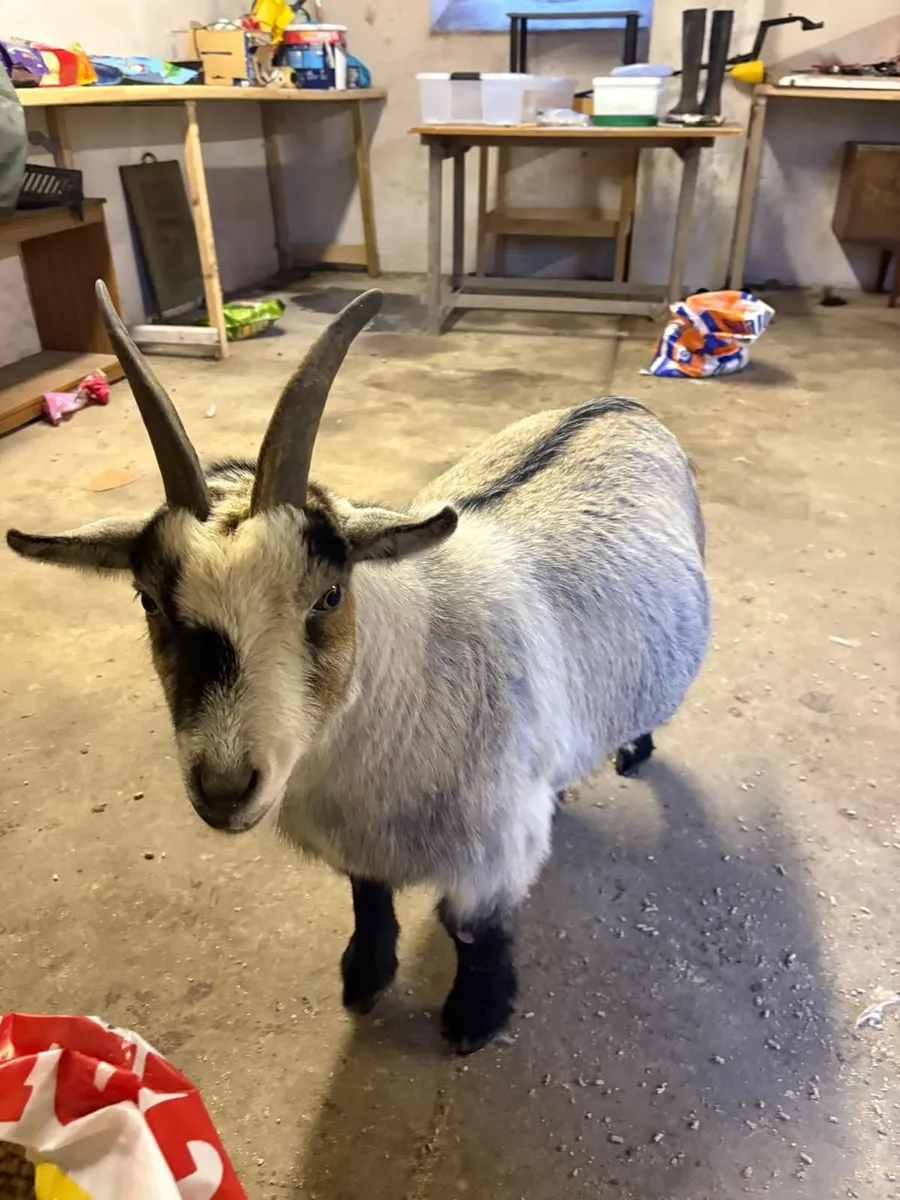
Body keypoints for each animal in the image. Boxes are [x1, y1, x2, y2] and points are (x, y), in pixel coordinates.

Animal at [7, 285, 710, 1053]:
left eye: (330, 595)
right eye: (148, 599)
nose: (224, 789)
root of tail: (622, 404)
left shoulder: (493, 853)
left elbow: (472, 932)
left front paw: (475, 1017)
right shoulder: (360, 843)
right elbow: (368, 899)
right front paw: (365, 978)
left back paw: (634, 750)